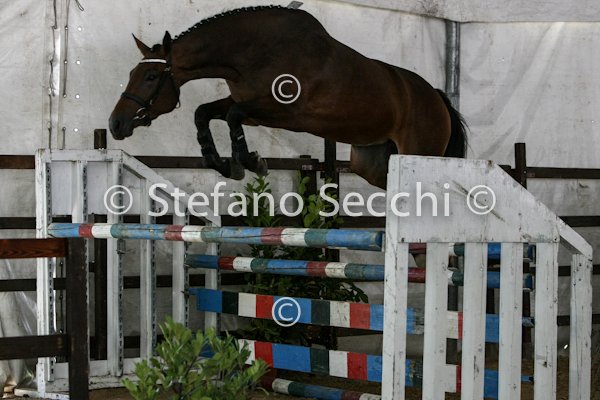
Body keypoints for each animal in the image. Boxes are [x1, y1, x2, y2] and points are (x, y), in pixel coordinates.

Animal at [108, 5, 467, 189]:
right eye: (133, 73)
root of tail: (438, 97)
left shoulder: (288, 115)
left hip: (419, 152)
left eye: (151, 77)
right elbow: (205, 113)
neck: (254, 53)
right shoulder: (251, 108)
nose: (115, 124)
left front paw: (252, 161)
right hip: (373, 163)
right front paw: (225, 165)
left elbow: (232, 117)